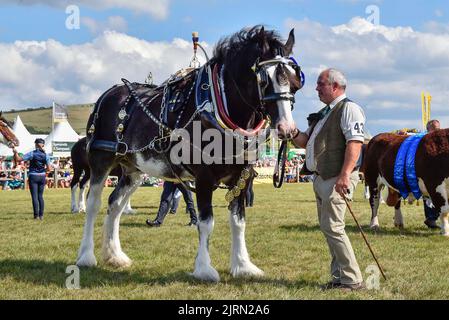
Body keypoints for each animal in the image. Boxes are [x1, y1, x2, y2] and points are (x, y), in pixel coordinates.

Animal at [77, 25, 302, 282]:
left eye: (295, 81)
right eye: (264, 80)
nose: (287, 128)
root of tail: (111, 93)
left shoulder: (241, 177)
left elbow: (238, 221)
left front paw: (243, 265)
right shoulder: (204, 177)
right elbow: (206, 223)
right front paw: (204, 268)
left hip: (133, 170)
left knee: (115, 205)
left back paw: (115, 256)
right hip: (100, 160)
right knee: (93, 203)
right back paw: (86, 256)